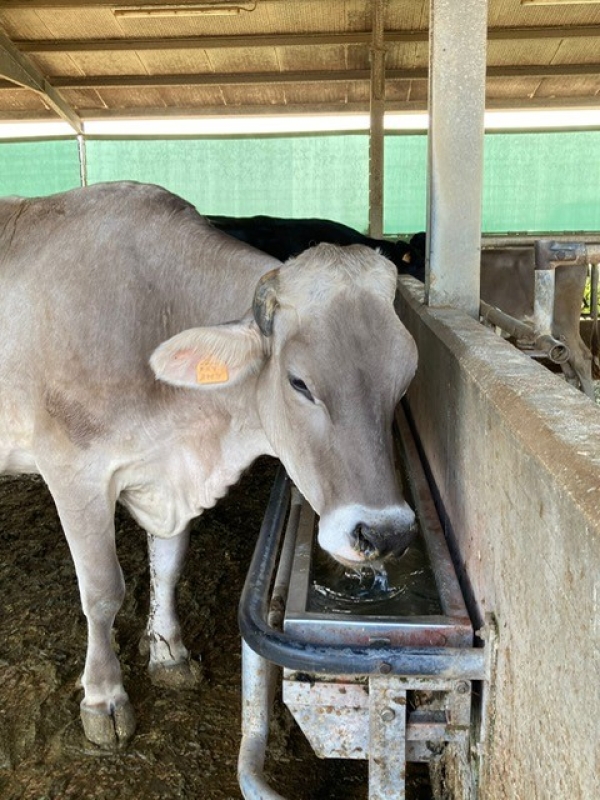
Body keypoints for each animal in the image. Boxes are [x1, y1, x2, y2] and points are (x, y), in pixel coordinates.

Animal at [0, 181, 418, 752]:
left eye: (405, 377)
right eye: (299, 383)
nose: (385, 532)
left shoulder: (163, 475)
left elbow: (170, 564)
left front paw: (168, 653)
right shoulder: (73, 471)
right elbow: (103, 591)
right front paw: (104, 696)